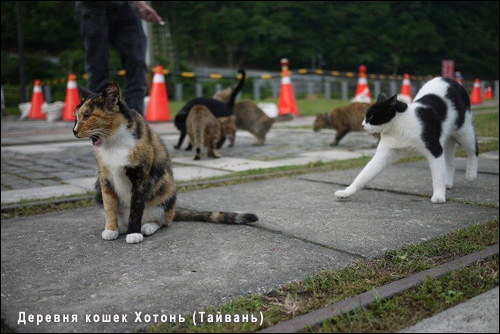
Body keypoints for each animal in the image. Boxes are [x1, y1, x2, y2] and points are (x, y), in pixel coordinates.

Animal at [73, 82, 258, 244]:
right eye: (76, 116)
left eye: (87, 115)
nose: (74, 131)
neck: (114, 141)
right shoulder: (105, 178)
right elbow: (109, 206)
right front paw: (111, 229)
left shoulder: (141, 177)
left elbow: (136, 208)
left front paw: (134, 233)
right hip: (98, 189)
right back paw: (121, 227)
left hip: (166, 187)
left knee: (164, 220)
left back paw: (146, 227)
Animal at [334, 77, 478, 204]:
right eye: (365, 116)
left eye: (372, 116)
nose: (363, 124)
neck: (399, 125)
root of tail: (451, 80)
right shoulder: (383, 154)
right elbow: (364, 174)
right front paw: (346, 192)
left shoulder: (435, 149)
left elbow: (437, 175)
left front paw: (438, 196)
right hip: (447, 139)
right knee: (450, 160)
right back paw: (447, 183)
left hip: (463, 131)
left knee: (473, 149)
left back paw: (471, 175)